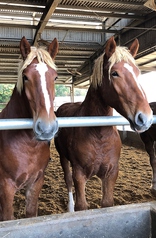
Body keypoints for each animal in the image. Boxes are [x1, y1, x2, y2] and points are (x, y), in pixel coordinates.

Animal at [0, 36, 58, 221]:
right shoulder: (6, 188)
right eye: (25, 77)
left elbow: (31, 215)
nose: (46, 127)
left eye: (55, 77)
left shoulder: (35, 183)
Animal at [54, 36, 153, 211]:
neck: (98, 134)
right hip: (63, 158)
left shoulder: (111, 174)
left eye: (137, 72)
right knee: (68, 181)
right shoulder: (79, 174)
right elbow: (81, 205)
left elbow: (107, 203)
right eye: (114, 73)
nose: (145, 118)